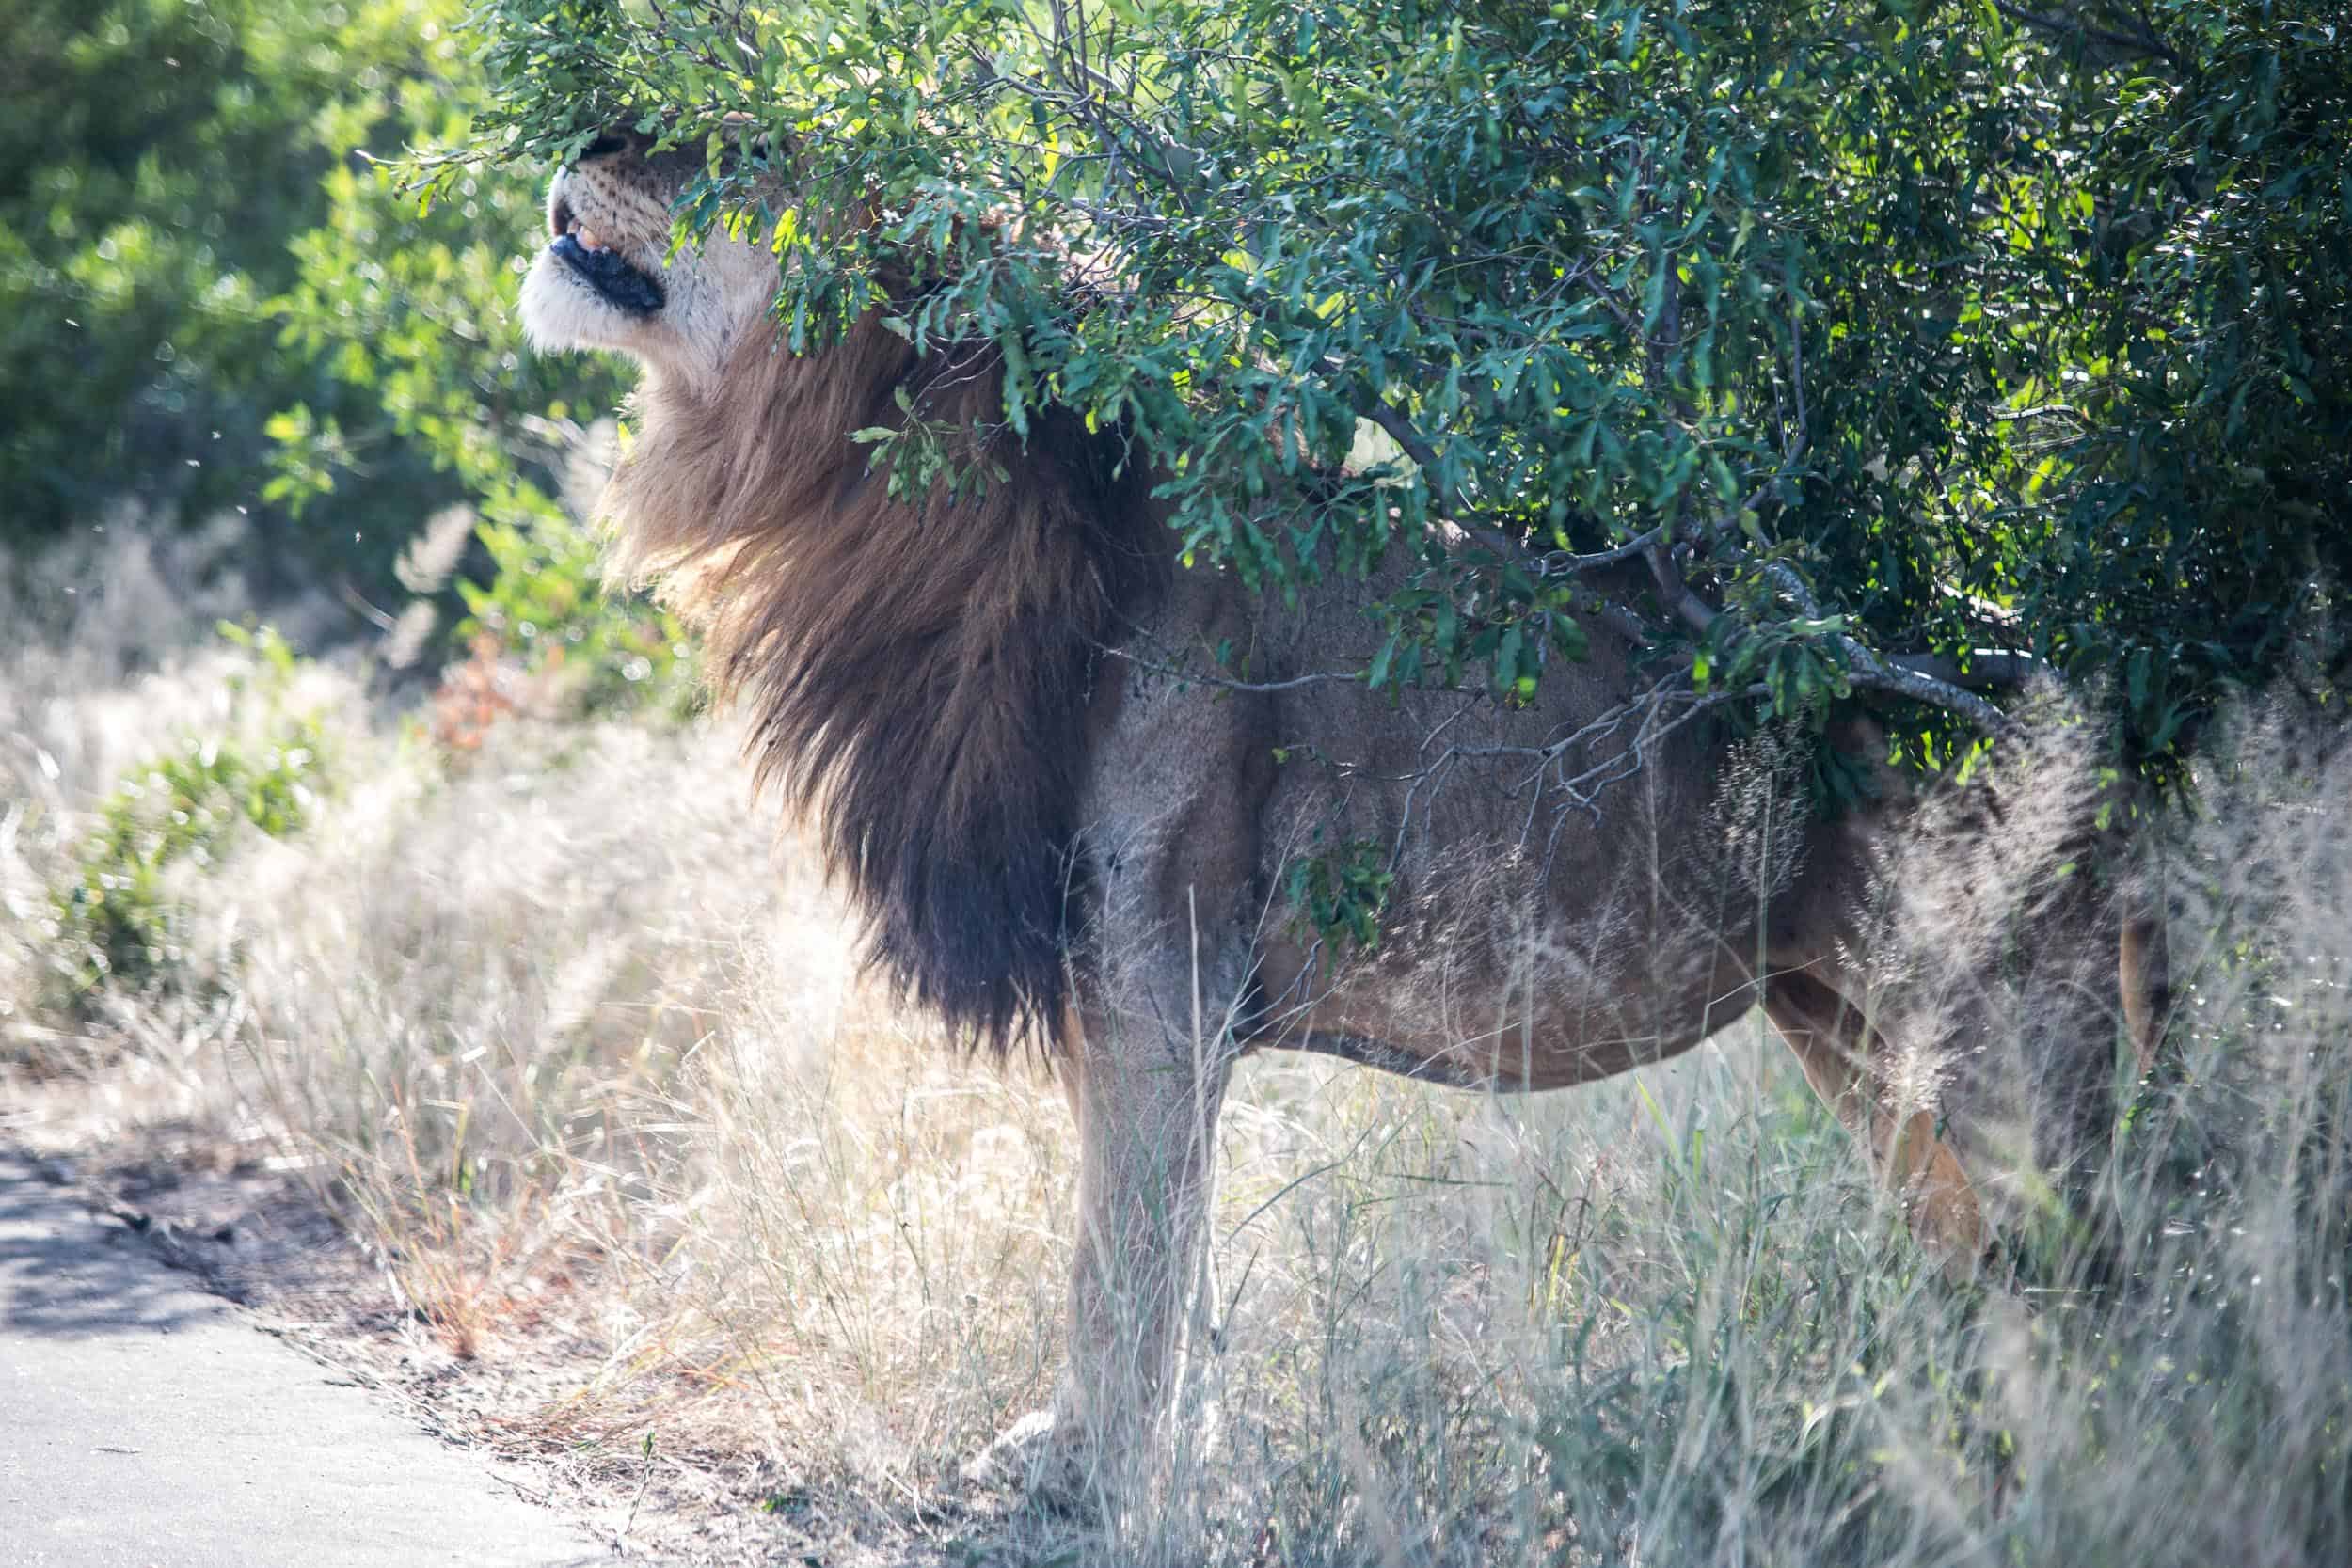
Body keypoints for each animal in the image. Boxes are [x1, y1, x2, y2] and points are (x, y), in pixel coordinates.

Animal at [515, 131, 2164, 1495]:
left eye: (738, 151)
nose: (592, 132)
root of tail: (2083, 699)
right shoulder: (1130, 986)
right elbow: (1163, 1253)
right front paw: (1126, 1444)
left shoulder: (1160, 977)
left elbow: (1120, 1252)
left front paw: (1089, 1472)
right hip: (1855, 1033)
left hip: (2013, 1048)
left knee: (2122, 1284)